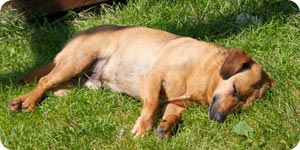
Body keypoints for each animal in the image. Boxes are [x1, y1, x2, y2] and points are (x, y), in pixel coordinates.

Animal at [7, 24, 276, 138]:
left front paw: (166, 128)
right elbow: (150, 105)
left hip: (81, 81)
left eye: (241, 106)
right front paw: (143, 128)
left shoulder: (177, 103)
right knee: (44, 81)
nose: (219, 120)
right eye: (234, 89)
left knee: (54, 87)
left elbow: (171, 115)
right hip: (76, 61)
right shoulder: (153, 78)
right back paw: (26, 101)